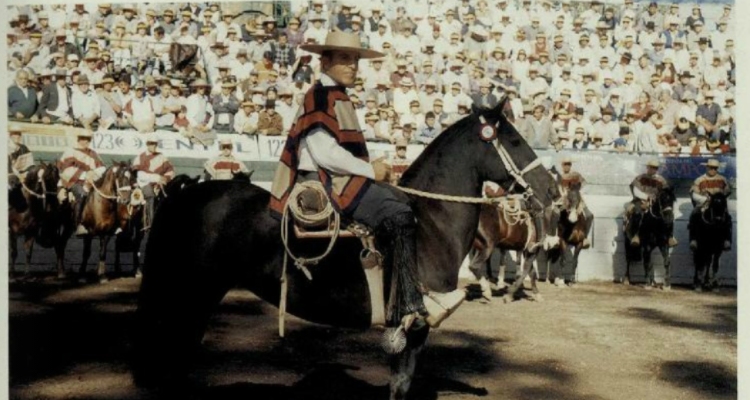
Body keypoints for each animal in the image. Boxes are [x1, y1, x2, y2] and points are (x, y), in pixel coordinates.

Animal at [134, 101, 560, 400]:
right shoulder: (413, 327)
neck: (430, 223)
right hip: (191, 294)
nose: (552, 189)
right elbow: (401, 385)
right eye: (516, 140)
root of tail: (186, 193)